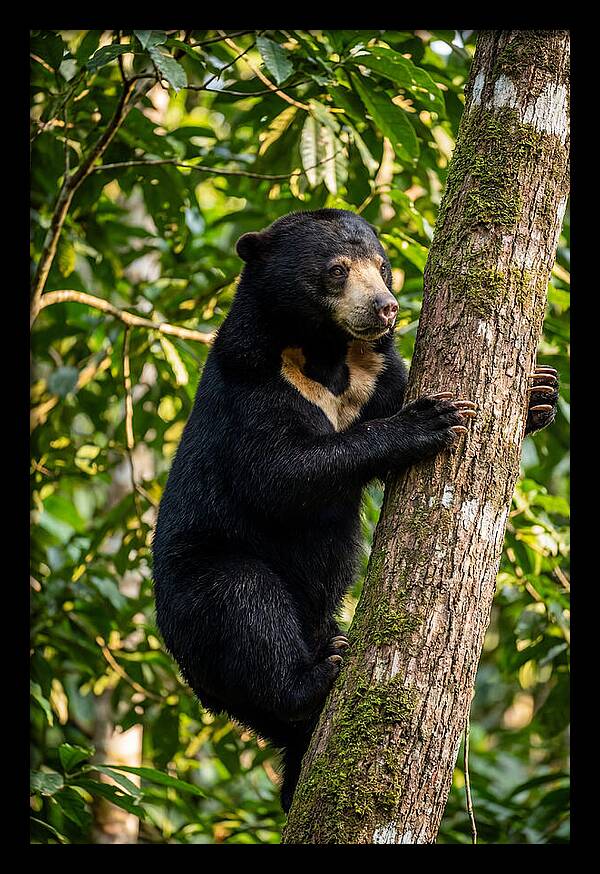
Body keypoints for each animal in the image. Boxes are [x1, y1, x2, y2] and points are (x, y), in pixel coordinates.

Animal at [152, 208, 559, 813]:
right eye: (338, 270)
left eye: (384, 267)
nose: (386, 307)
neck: (326, 354)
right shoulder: (252, 381)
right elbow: (278, 474)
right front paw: (430, 420)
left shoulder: (375, 373)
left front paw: (539, 393)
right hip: (198, 587)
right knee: (243, 603)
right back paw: (321, 672)